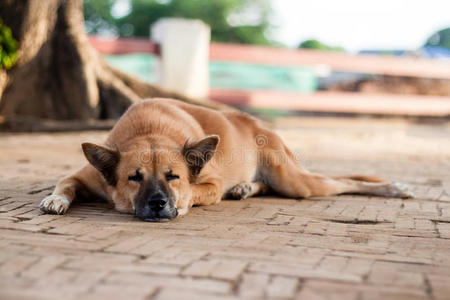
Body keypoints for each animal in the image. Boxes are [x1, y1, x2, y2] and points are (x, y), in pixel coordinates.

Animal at [40, 98, 414, 220]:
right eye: (134, 177)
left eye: (174, 176)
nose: (159, 204)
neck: (148, 130)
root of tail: (257, 123)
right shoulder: (84, 175)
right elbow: (64, 183)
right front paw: (56, 200)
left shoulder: (211, 183)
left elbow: (199, 193)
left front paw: (183, 204)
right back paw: (246, 188)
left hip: (294, 182)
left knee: (343, 182)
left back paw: (394, 188)